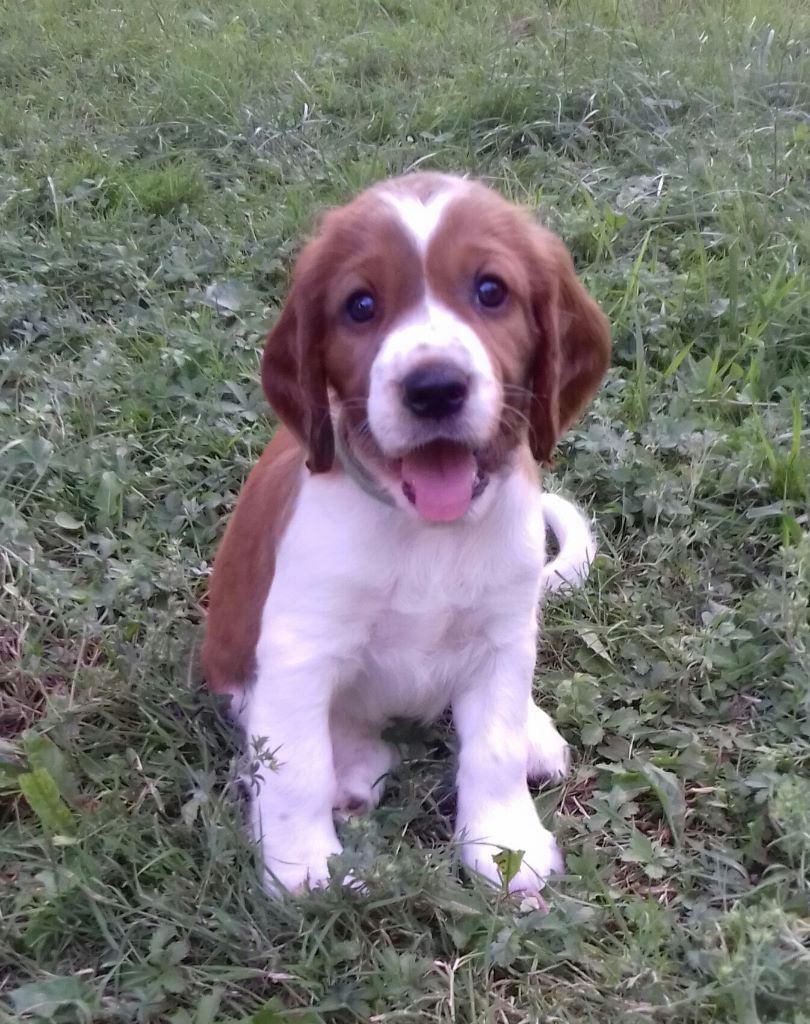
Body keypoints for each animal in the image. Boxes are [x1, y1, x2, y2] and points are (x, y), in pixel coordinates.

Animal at [202, 172, 610, 896]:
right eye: (361, 305)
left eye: (490, 291)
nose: (435, 388)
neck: (427, 529)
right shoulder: (300, 648)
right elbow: (296, 767)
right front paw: (303, 869)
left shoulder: (503, 634)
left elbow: (494, 744)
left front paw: (504, 842)